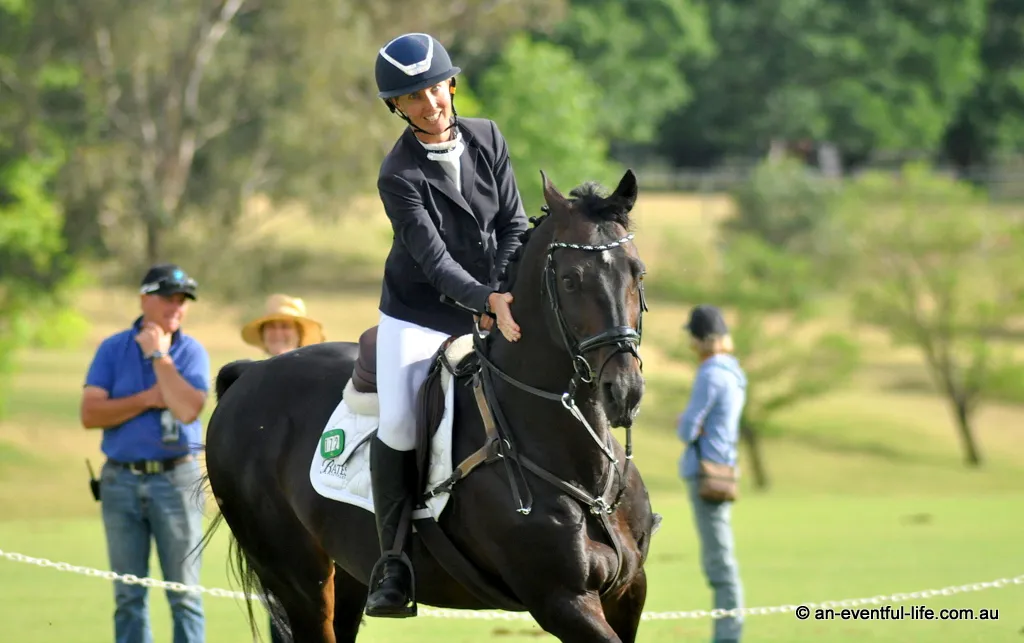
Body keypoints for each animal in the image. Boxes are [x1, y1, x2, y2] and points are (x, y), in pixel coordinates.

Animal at [200, 168, 657, 642]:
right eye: (570, 280)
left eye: (638, 273)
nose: (623, 390)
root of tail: (252, 374)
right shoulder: (562, 600)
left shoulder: (628, 592)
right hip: (299, 579)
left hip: (349, 572)